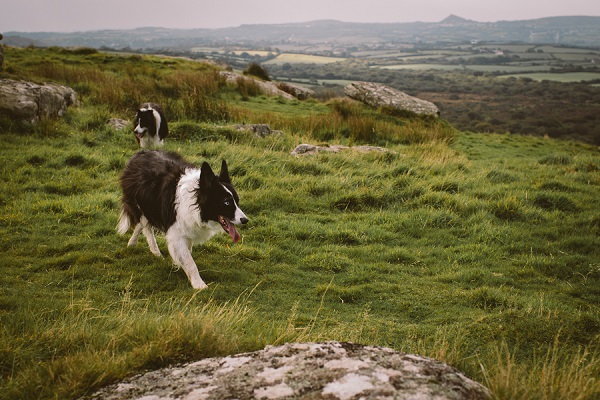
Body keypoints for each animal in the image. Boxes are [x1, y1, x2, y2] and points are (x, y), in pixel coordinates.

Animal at [116, 148, 247, 290]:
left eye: (237, 201)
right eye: (226, 202)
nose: (245, 220)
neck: (196, 202)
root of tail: (142, 152)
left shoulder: (187, 228)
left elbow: (187, 253)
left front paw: (182, 268)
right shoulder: (176, 233)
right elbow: (189, 261)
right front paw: (198, 284)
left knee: (143, 224)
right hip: (141, 203)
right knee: (144, 223)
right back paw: (147, 248)